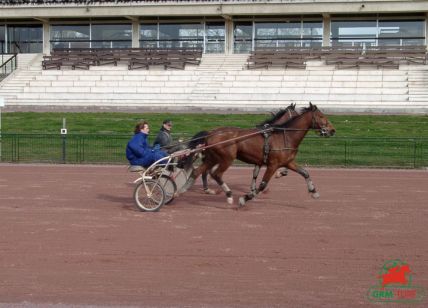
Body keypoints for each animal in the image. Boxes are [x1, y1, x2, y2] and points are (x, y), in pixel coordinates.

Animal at [182, 103, 336, 207]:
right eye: (322, 116)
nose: (332, 130)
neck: (283, 135)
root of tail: (211, 133)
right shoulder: (272, 164)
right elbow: (262, 184)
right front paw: (246, 197)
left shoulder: (287, 162)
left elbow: (304, 172)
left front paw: (314, 191)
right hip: (226, 158)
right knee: (215, 173)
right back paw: (228, 194)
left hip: (212, 158)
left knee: (198, 171)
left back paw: (185, 189)